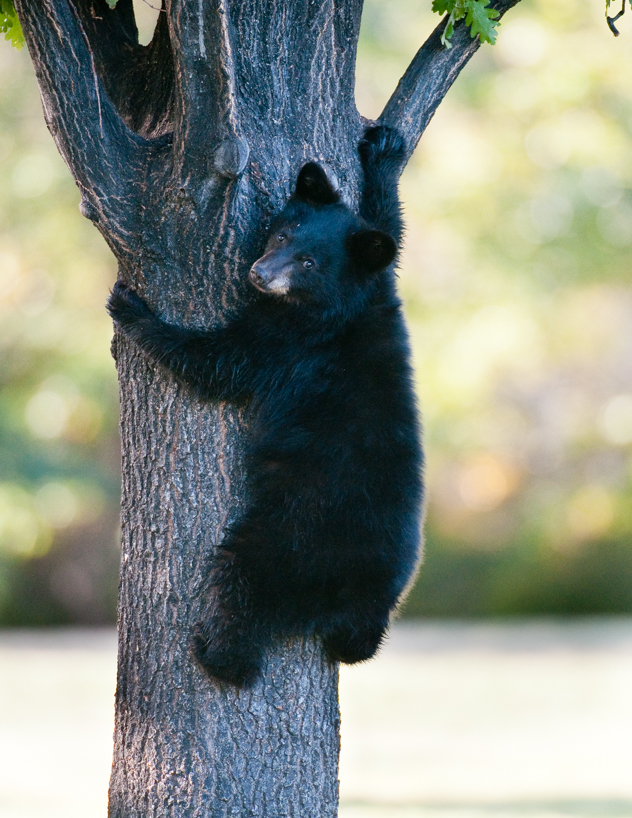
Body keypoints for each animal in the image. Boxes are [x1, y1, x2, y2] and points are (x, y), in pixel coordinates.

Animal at [106, 125, 424, 688]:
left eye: (308, 263)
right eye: (282, 236)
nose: (258, 273)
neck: (341, 308)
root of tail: (354, 599)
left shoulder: (290, 346)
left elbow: (219, 363)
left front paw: (133, 309)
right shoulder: (380, 281)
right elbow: (389, 228)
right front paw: (382, 152)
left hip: (282, 544)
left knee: (240, 588)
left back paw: (217, 654)